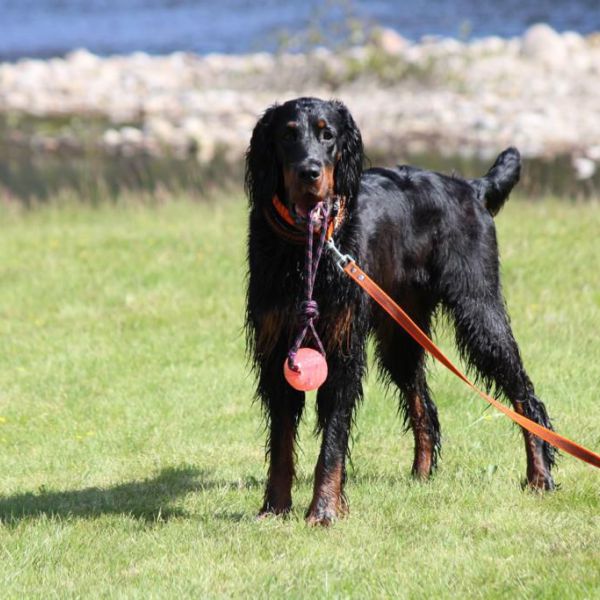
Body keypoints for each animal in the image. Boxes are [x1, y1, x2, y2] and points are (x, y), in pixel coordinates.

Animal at [246, 97, 556, 524]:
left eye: (328, 134)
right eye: (288, 134)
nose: (309, 172)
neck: (307, 245)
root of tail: (470, 188)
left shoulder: (342, 350)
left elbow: (333, 438)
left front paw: (324, 509)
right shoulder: (278, 349)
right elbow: (281, 439)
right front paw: (275, 507)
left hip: (479, 310)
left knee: (526, 396)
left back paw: (540, 474)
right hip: (401, 328)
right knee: (424, 404)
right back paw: (421, 476)